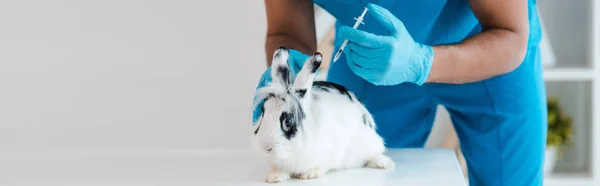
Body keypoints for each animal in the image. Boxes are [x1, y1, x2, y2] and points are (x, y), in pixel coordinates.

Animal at [250, 45, 394, 183]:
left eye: (288, 122)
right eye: (263, 112)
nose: (265, 147)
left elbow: (321, 166)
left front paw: (309, 174)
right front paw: (274, 177)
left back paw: (385, 164)